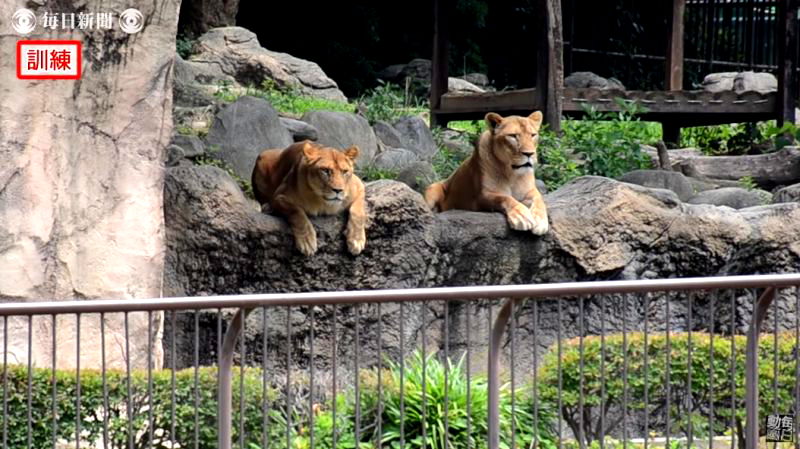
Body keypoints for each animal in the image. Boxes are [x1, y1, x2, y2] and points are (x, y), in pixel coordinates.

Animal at [424, 111, 552, 234]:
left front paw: (540, 221)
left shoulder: (530, 191)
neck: (512, 174)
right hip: (432, 189)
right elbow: (505, 198)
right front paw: (521, 217)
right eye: (513, 136)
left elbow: (539, 200)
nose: (529, 153)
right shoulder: (482, 196)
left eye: (533, 135)